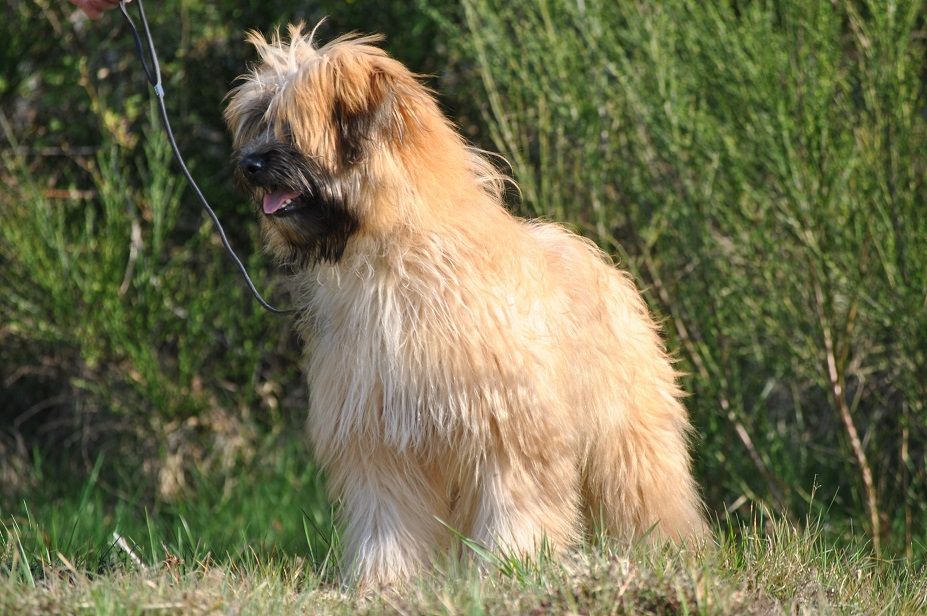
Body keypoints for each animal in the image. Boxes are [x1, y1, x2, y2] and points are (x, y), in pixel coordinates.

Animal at [228, 25, 708, 588]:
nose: (248, 164)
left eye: (289, 126)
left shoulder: (509, 428)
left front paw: (508, 568)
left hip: (628, 435)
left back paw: (674, 553)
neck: (395, 256)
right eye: (258, 121)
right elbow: (385, 519)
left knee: (650, 495)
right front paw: (382, 583)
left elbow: (516, 506)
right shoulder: (380, 436)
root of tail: (606, 267)